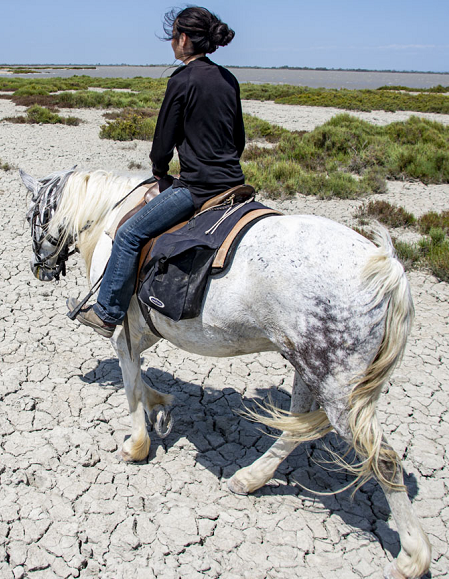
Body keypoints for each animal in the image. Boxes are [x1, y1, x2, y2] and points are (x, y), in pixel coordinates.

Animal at [21, 165, 430, 576]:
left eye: (30, 216)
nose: (40, 269)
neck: (111, 216)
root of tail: (389, 272)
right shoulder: (145, 329)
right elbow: (140, 378)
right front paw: (161, 406)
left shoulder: (124, 328)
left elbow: (131, 382)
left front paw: (136, 444)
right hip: (310, 370)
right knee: (295, 430)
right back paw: (249, 479)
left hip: (339, 390)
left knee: (384, 460)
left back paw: (411, 558)